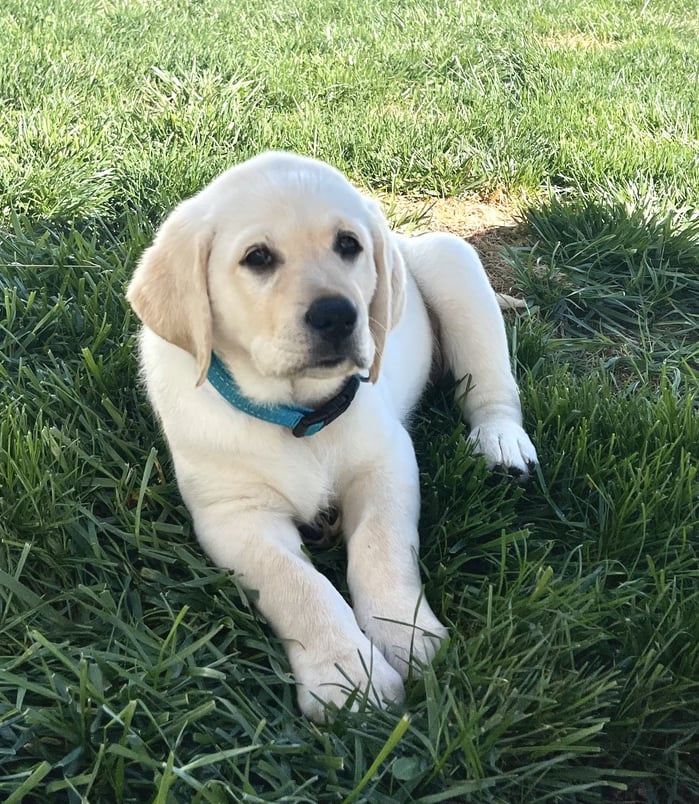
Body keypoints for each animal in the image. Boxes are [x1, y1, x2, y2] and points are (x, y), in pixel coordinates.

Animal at [127, 152, 540, 724]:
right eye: (258, 258)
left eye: (348, 245)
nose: (338, 315)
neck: (297, 415)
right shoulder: (234, 514)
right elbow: (299, 585)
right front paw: (348, 676)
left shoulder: (387, 463)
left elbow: (380, 548)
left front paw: (405, 636)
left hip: (453, 262)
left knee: (493, 387)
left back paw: (501, 445)